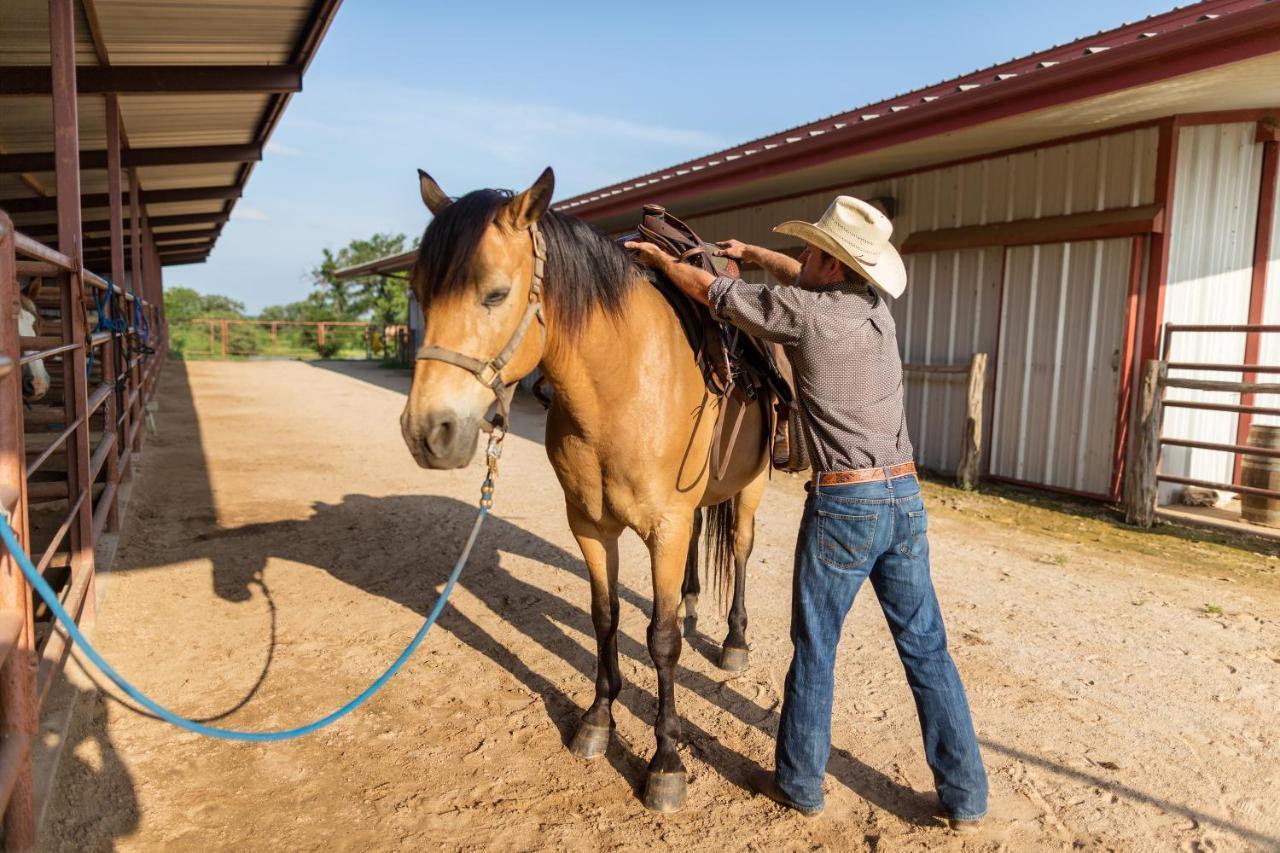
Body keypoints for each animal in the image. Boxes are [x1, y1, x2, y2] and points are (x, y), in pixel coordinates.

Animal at [399, 166, 768, 809]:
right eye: (419, 292)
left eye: (495, 294)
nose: (428, 432)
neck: (622, 382)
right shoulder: (590, 525)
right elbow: (604, 617)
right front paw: (597, 719)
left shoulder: (663, 527)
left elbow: (662, 640)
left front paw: (666, 761)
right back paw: (694, 602)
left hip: (752, 486)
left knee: (741, 551)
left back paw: (734, 642)